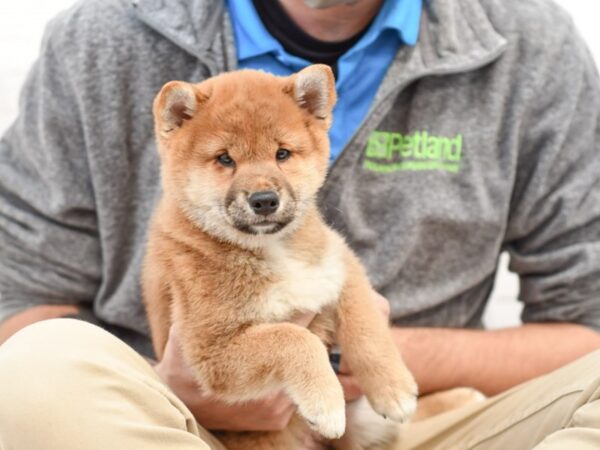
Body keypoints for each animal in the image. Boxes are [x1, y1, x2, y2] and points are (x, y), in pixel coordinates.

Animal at [142, 64, 418, 450]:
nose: (264, 200)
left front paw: (395, 390)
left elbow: (367, 327)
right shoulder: (211, 349)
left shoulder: (338, 264)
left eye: (282, 154)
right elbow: (293, 339)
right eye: (225, 159)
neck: (273, 249)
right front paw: (327, 404)